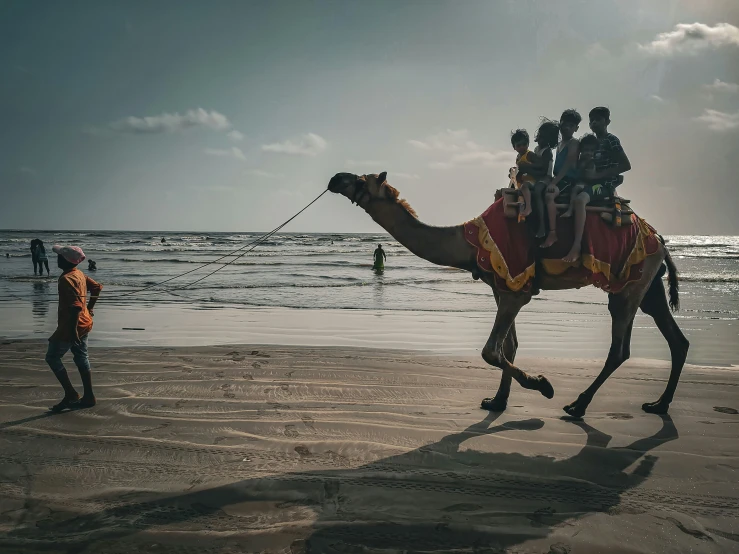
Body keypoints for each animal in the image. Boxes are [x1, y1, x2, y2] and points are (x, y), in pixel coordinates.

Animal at [326, 170, 692, 416]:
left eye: (362, 180)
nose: (336, 178)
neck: (468, 242)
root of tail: (661, 240)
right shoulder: (501, 286)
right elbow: (509, 346)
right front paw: (498, 400)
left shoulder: (517, 286)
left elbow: (491, 350)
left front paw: (542, 385)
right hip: (649, 285)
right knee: (676, 339)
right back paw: (659, 404)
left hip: (630, 285)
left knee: (620, 348)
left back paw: (577, 405)